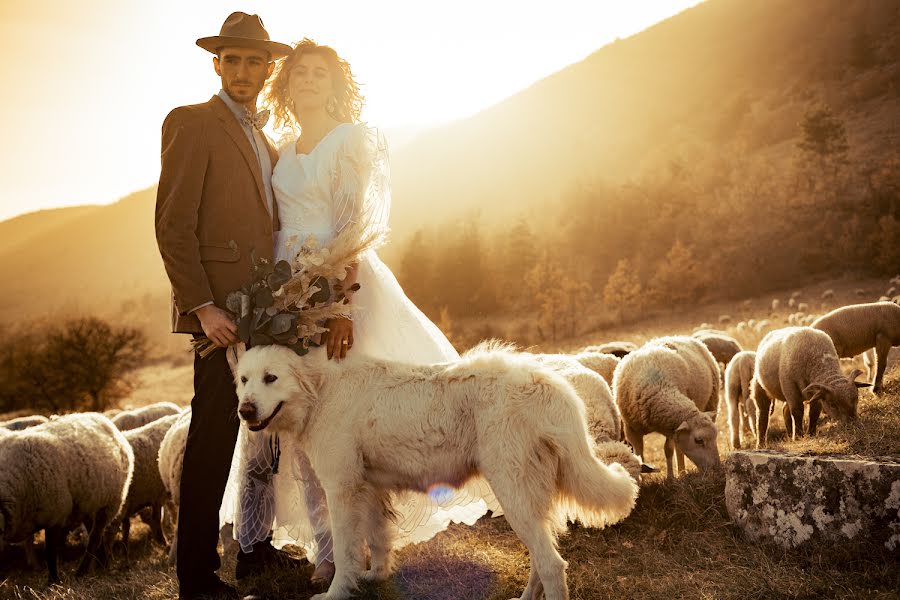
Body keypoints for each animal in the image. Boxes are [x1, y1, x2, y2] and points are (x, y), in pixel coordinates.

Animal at [0, 412, 135, 580]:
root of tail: (104, 420)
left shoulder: (55, 515)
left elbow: (50, 552)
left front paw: (53, 581)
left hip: (108, 504)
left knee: (95, 538)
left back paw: (82, 572)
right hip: (88, 506)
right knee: (94, 535)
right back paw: (98, 566)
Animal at [232, 342, 640, 600]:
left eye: (271, 378)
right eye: (244, 380)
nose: (244, 410)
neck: (320, 390)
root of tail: (548, 384)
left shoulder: (341, 489)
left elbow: (346, 551)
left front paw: (336, 593)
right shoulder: (370, 488)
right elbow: (378, 539)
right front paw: (375, 577)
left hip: (514, 494)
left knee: (553, 566)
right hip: (531, 499)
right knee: (543, 561)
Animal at [608, 336, 720, 480]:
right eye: (698, 440)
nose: (717, 469)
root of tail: (677, 336)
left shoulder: (670, 427)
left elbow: (668, 449)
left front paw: (670, 478)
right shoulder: (631, 429)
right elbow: (639, 455)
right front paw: (642, 480)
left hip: (712, 400)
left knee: (678, 449)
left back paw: (682, 472)